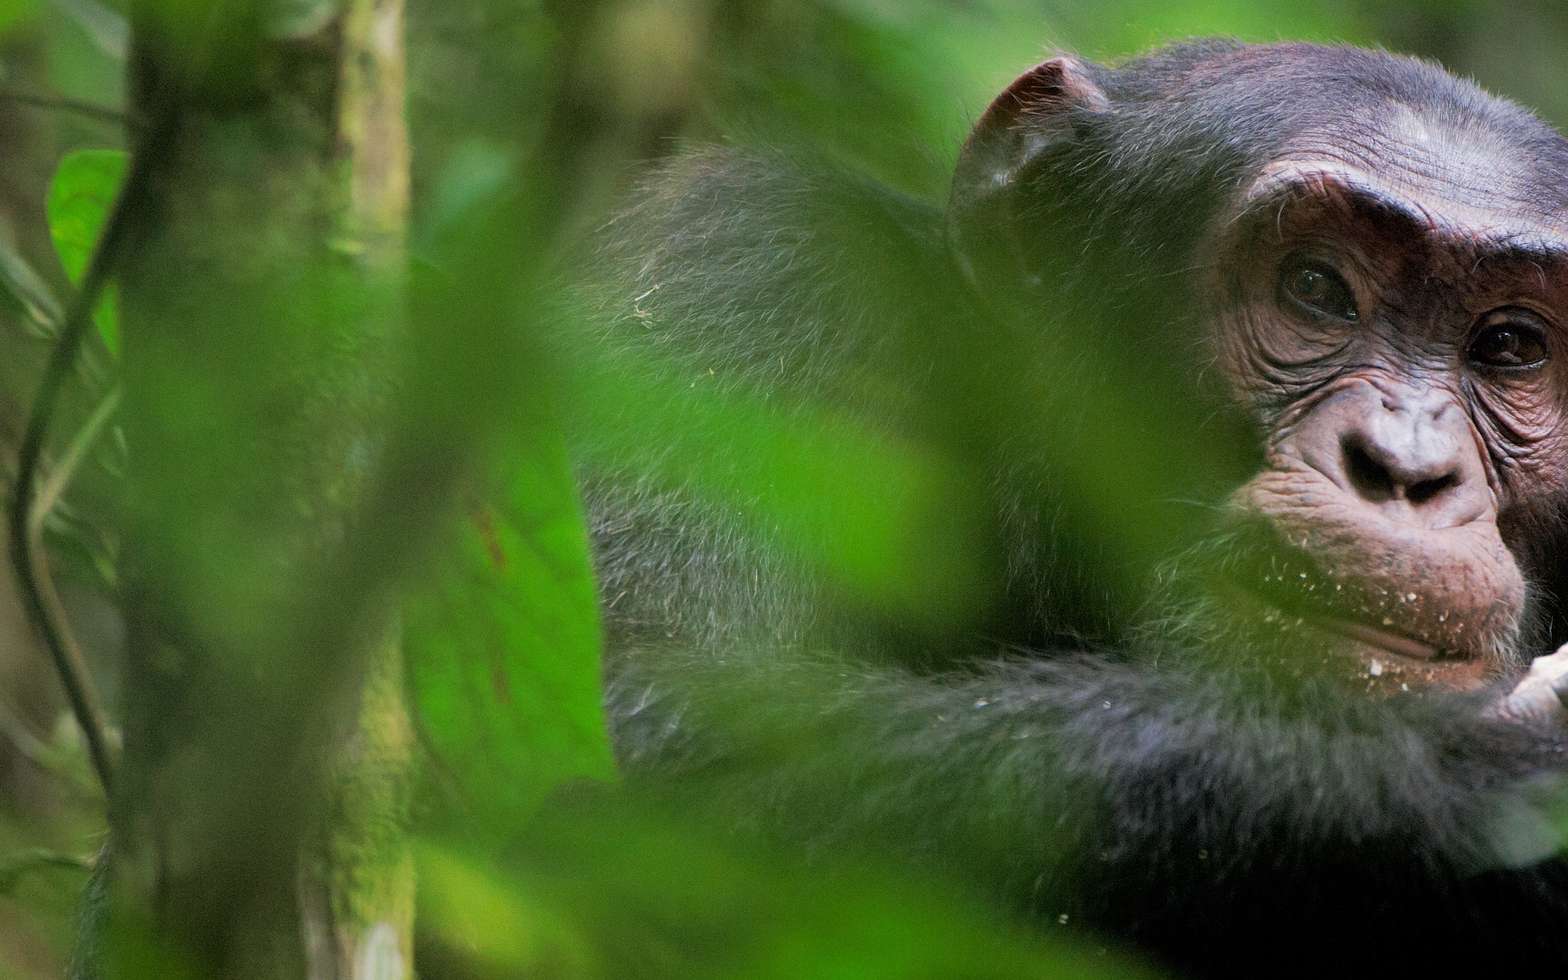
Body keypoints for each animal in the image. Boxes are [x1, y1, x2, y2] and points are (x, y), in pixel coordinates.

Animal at [570, 41, 1568, 972]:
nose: (1404, 467)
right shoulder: (748, 277)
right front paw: (1492, 768)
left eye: (1511, 346)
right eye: (1317, 288)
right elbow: (657, 735)